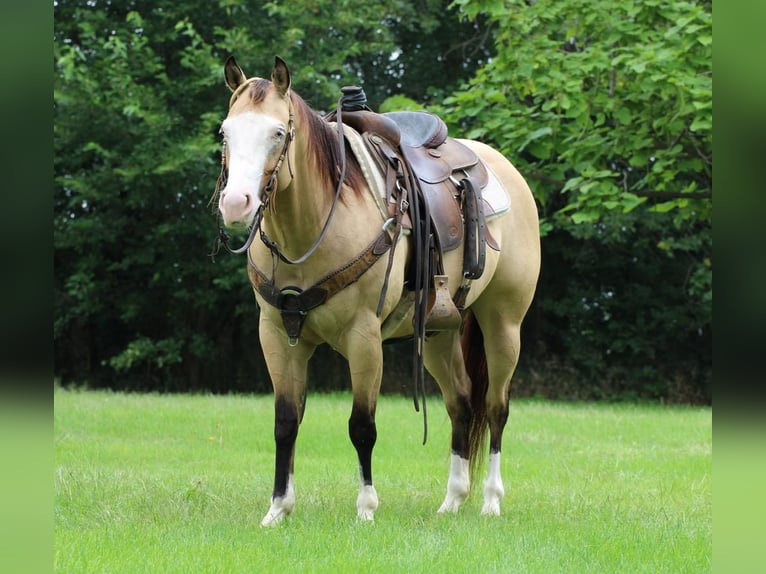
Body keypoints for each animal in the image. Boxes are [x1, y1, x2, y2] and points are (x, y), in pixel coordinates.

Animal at [213, 56, 544, 528]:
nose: (236, 204)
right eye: (225, 132)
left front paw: (366, 507)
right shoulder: (276, 334)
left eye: (278, 133)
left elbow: (362, 425)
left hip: (503, 324)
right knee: (462, 404)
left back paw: (490, 501)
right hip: (439, 331)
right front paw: (278, 508)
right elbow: (286, 422)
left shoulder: (363, 336)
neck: (313, 227)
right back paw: (452, 499)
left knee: (496, 406)